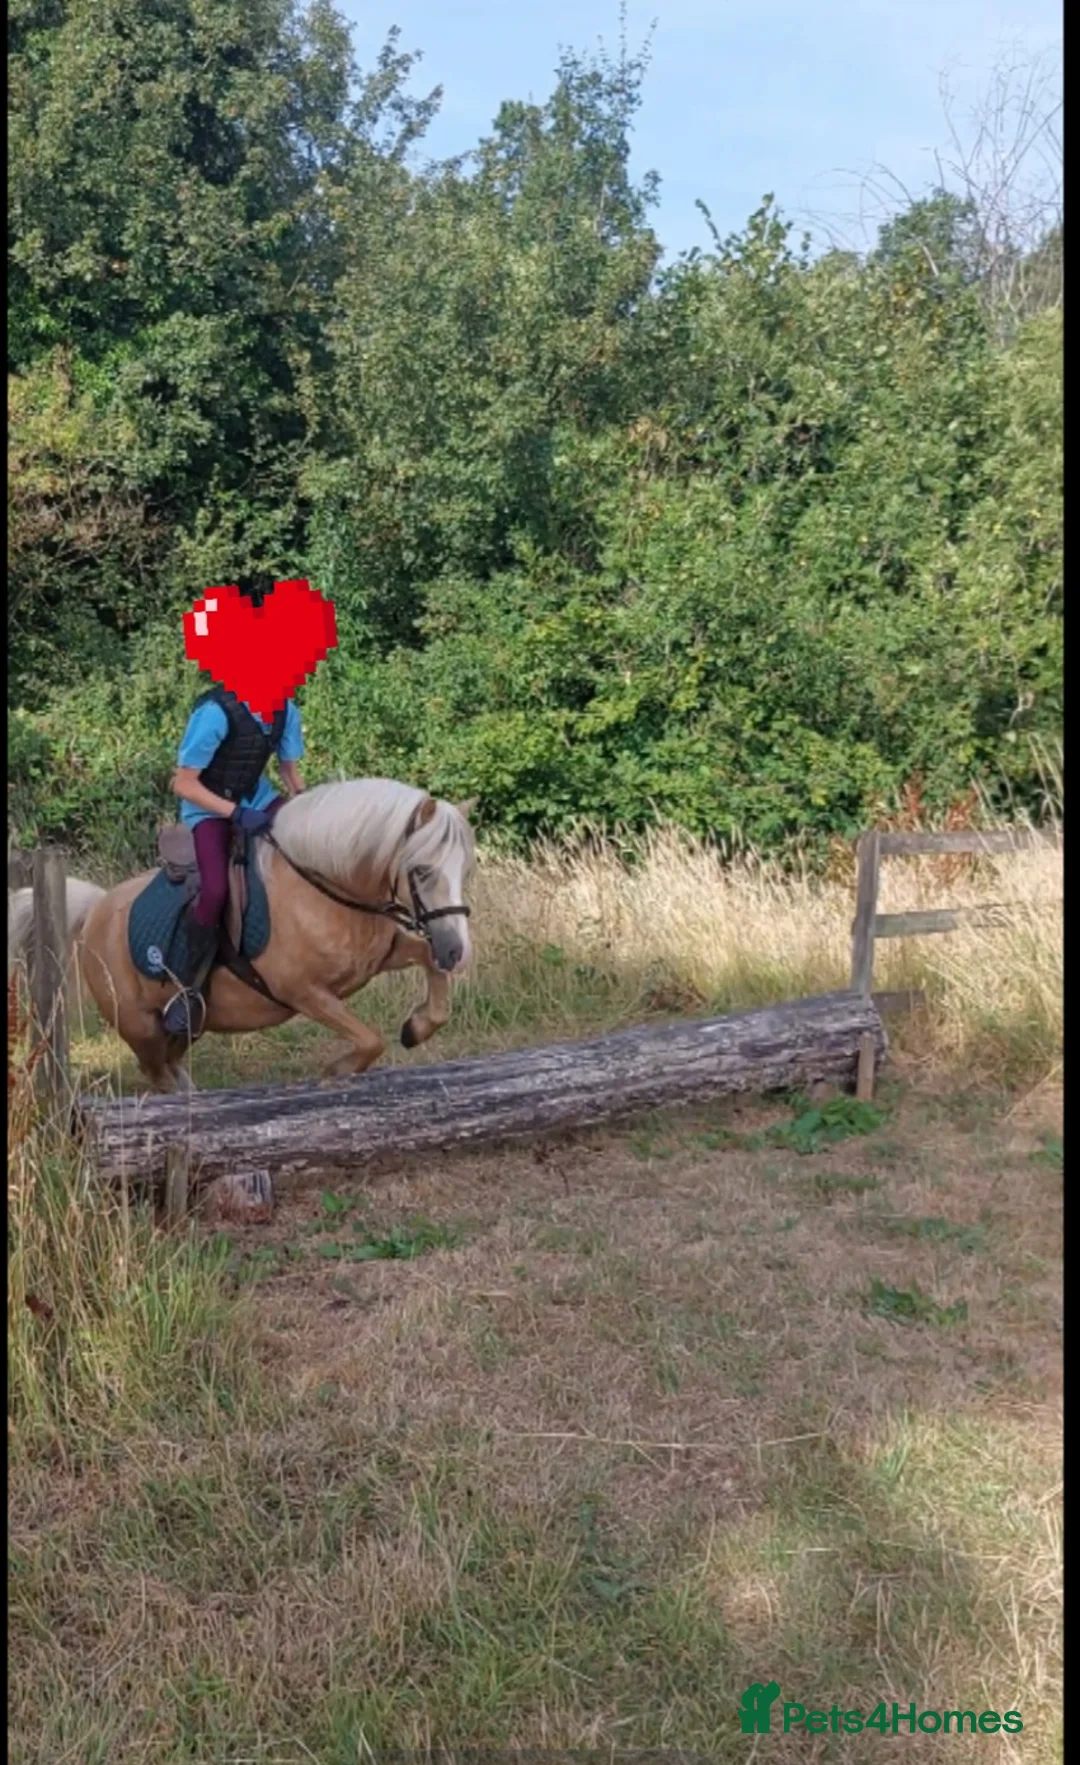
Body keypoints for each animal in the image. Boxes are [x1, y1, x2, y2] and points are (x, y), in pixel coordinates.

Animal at [8, 778, 476, 1094]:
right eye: (421, 870)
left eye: (465, 870)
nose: (457, 950)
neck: (324, 886)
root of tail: (96, 910)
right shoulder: (303, 992)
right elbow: (370, 1039)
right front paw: (336, 1071)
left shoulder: (384, 954)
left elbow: (430, 973)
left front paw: (416, 1028)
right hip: (140, 1028)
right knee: (159, 1075)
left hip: (183, 1027)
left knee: (173, 1068)